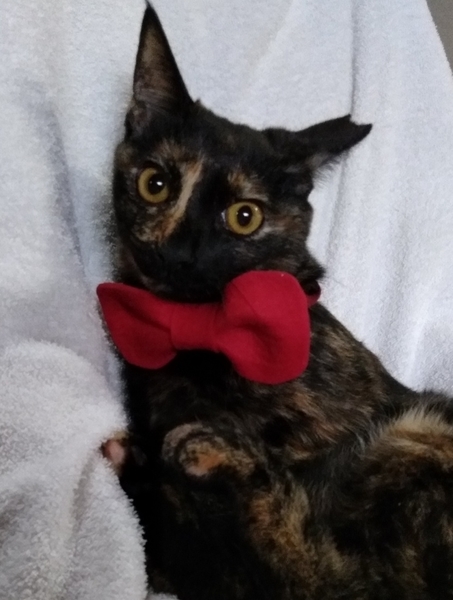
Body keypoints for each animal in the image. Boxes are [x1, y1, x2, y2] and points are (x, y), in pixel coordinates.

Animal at [102, 4, 453, 599]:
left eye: (245, 216)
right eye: (155, 184)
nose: (181, 252)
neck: (198, 339)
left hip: (422, 432)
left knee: (322, 573)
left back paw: (208, 452)